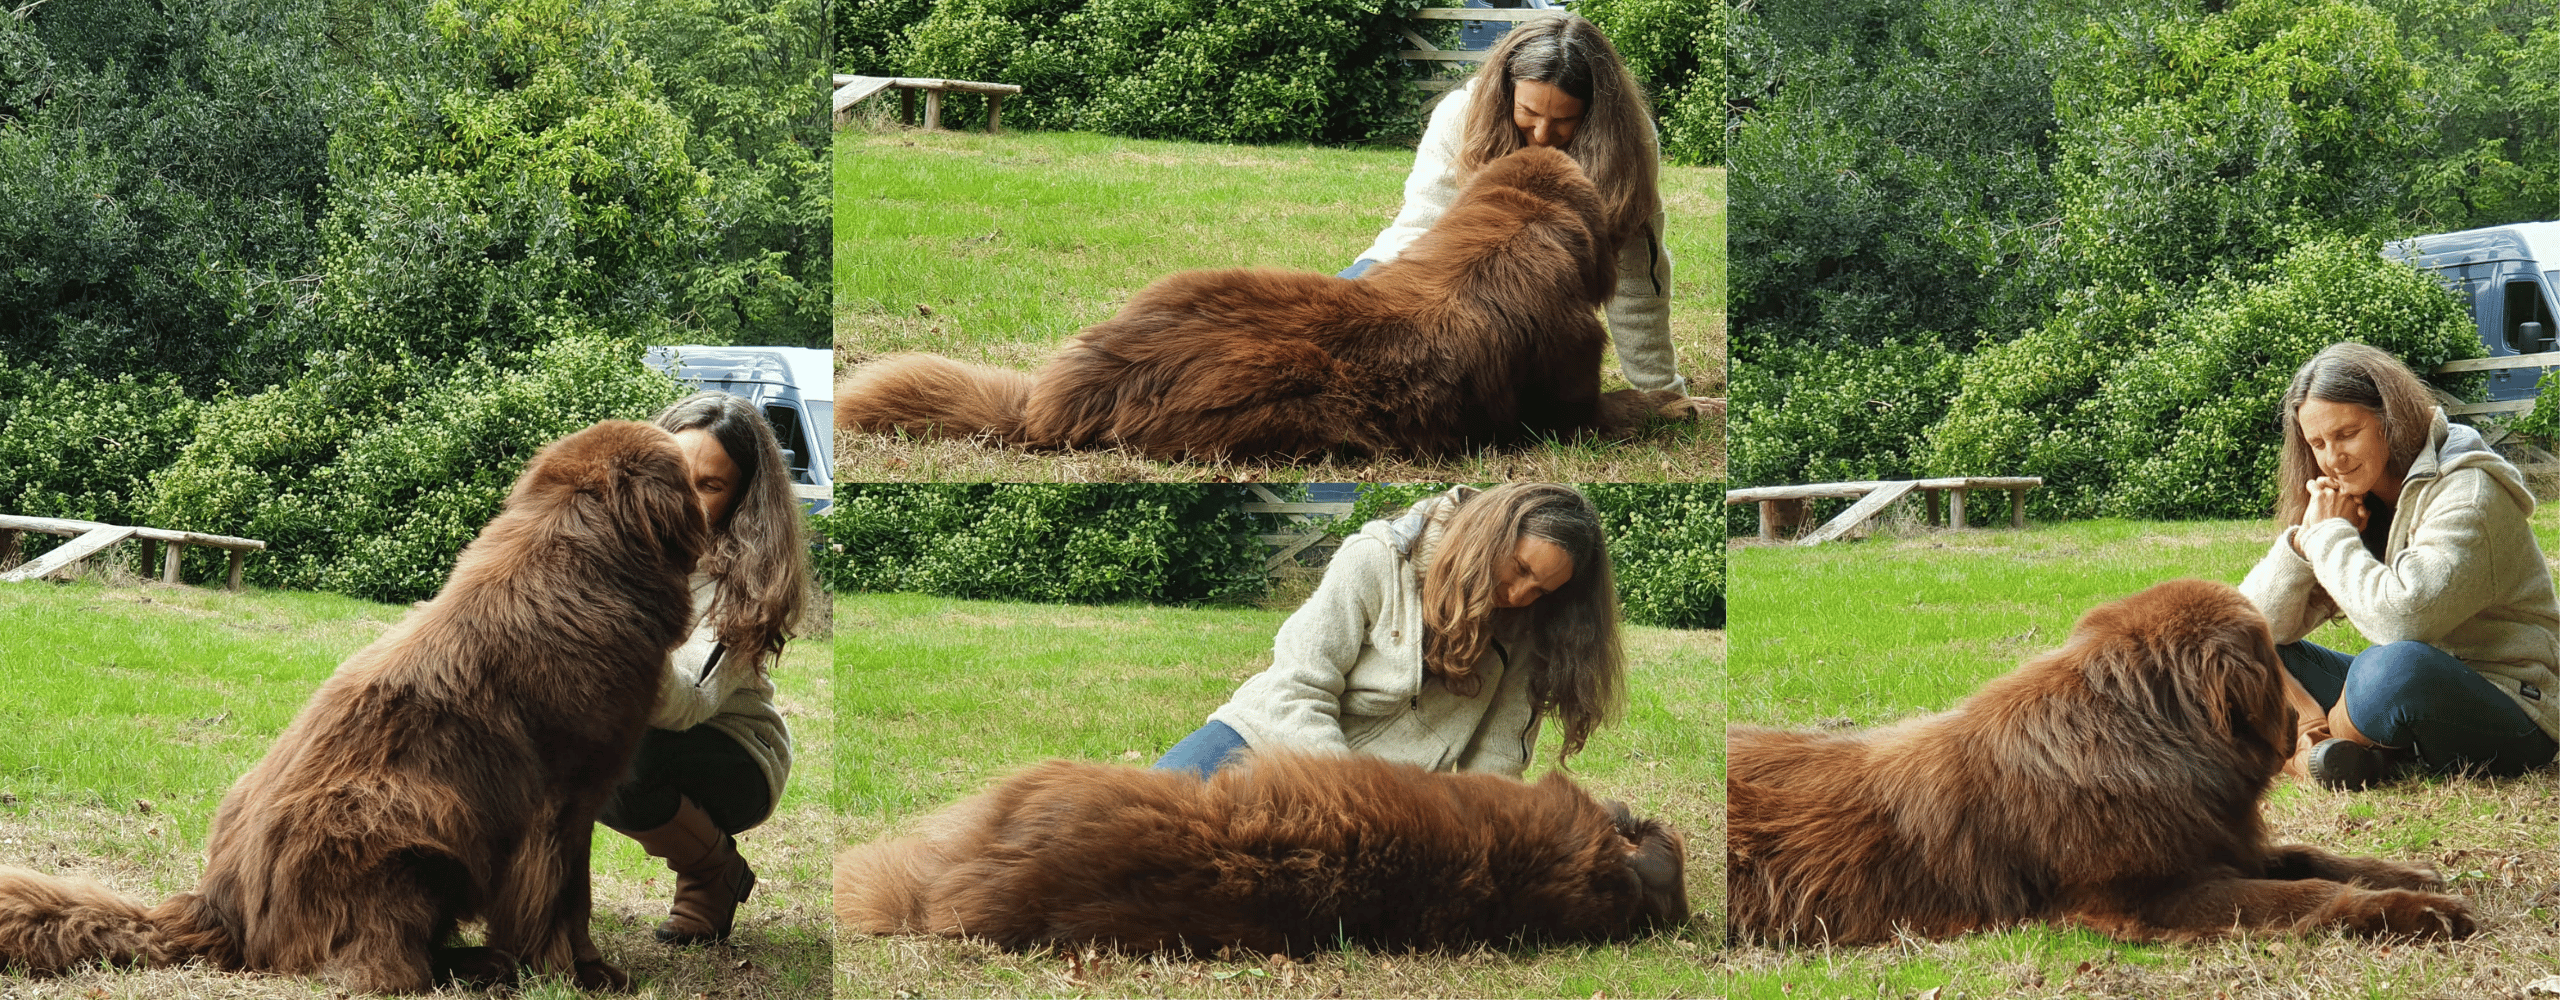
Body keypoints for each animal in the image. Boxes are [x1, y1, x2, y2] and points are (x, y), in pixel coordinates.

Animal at [0, 421, 711, 992]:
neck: (584, 560)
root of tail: (220, 910)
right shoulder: (565, 802)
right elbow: (567, 901)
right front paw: (585, 974)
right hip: (399, 823)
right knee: (382, 970)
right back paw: (477, 968)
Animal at [829, 143, 1689, 462]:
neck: (1509, 228)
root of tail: (1061, 397)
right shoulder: (1574, 405)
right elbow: (1632, 406)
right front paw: (1679, 405)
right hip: (1297, 398)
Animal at [1730, 580, 2467, 946]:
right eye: (2268, 659)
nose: (2299, 724)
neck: (2136, 739)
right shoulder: (2155, 892)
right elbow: (2299, 894)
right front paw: (2418, 911)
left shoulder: (2216, 841)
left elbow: (2310, 857)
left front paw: (2406, 873)